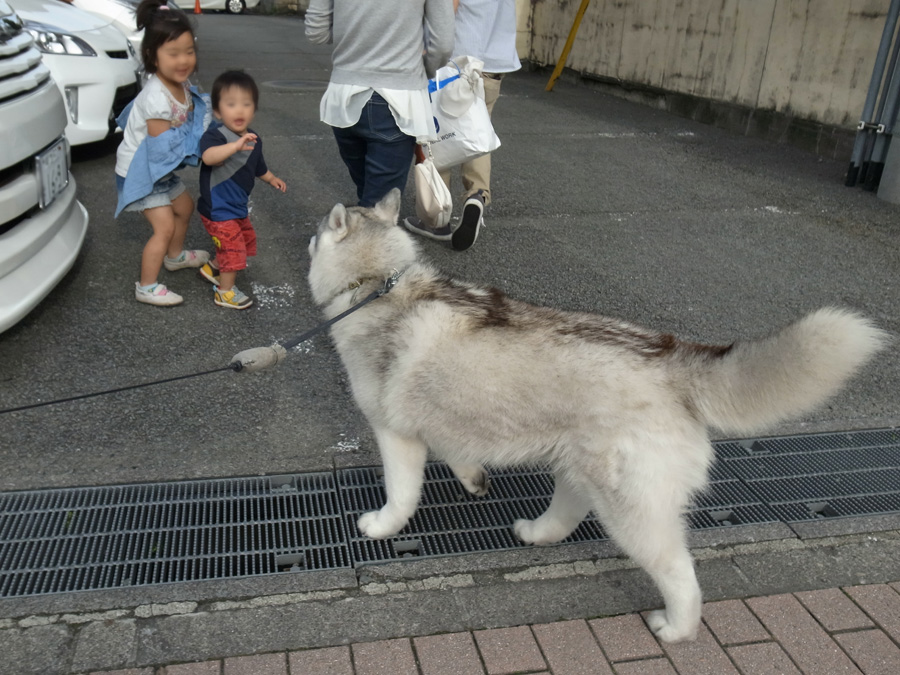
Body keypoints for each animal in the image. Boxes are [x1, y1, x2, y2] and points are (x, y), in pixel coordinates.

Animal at [308, 190, 884, 644]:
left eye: (315, 236)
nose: (307, 242)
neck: (375, 284)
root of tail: (672, 357)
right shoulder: (443, 419)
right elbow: (459, 453)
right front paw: (474, 479)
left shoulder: (395, 432)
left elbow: (401, 494)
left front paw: (383, 525)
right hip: (581, 465)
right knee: (568, 510)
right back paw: (539, 532)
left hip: (634, 513)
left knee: (679, 572)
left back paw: (678, 628)